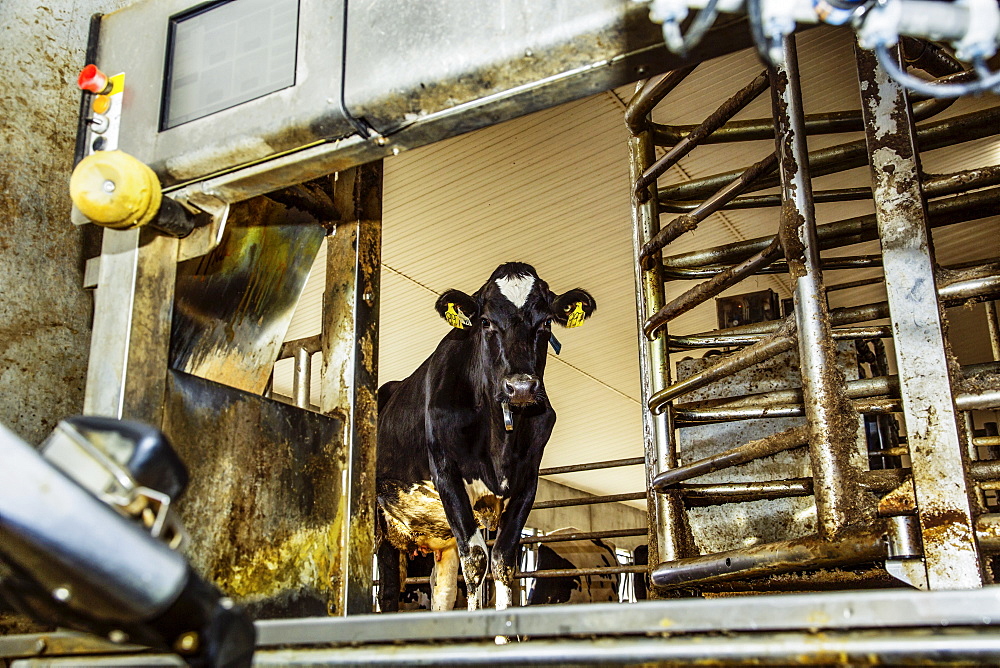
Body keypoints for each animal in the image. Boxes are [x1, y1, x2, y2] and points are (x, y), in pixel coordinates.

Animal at [376, 260, 592, 612]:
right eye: (486, 321)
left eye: (545, 322)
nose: (521, 387)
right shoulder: (447, 475)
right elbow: (477, 560)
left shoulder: (526, 482)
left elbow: (503, 560)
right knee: (389, 590)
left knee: (443, 590)